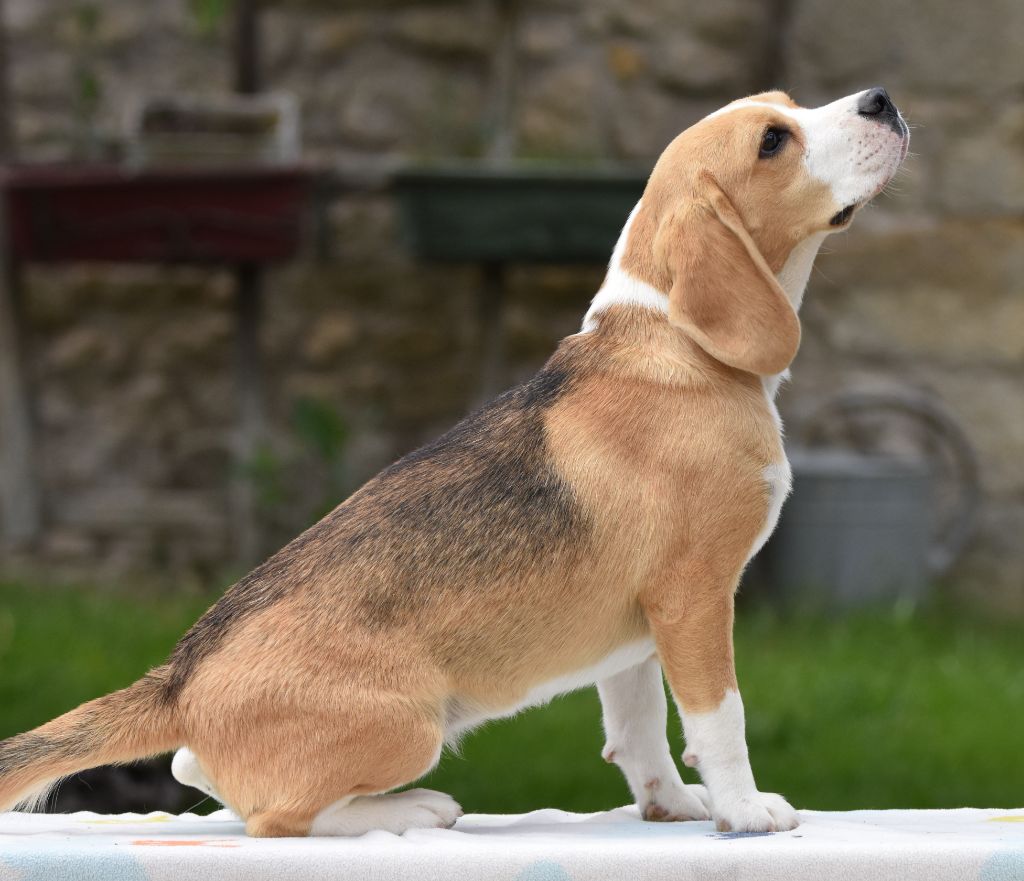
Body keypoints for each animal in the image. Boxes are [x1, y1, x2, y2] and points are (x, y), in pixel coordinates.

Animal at [2, 86, 913, 835]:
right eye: (774, 140)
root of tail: (179, 677)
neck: (669, 341)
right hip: (409, 722)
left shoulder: (637, 626)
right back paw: (411, 809)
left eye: (788, 104)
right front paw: (744, 810)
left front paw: (672, 805)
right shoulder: (693, 597)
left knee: (204, 773)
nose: (881, 99)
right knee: (275, 815)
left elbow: (640, 726)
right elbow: (721, 717)